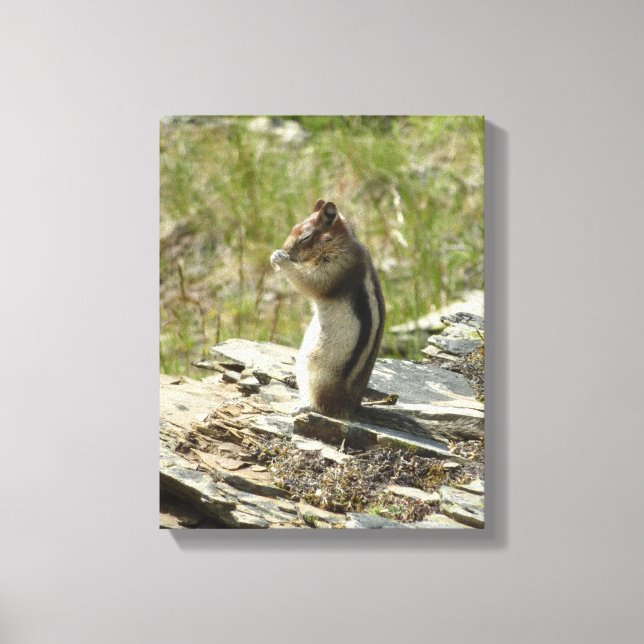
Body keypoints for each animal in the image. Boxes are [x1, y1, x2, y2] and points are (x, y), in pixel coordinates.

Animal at [270, 199, 385, 419]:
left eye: (306, 236)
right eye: (293, 228)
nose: (284, 249)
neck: (340, 242)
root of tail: (350, 407)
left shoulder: (337, 266)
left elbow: (312, 282)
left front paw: (281, 259)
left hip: (315, 370)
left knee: (322, 406)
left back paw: (304, 406)